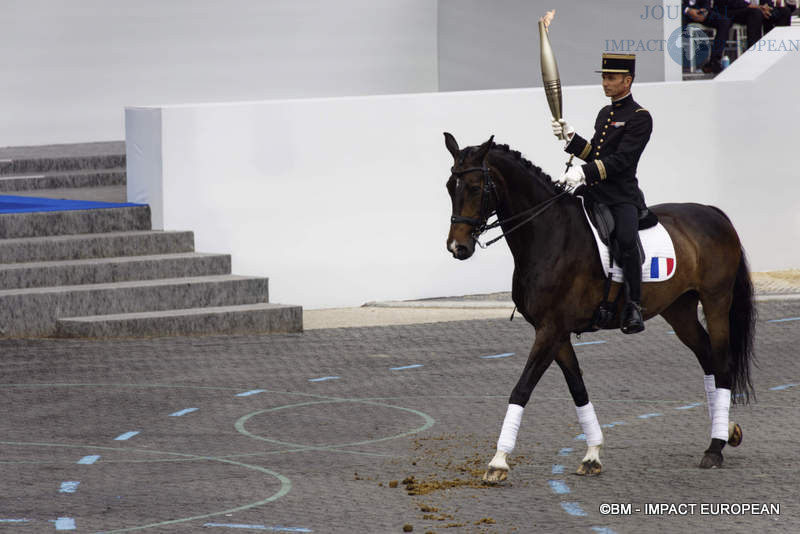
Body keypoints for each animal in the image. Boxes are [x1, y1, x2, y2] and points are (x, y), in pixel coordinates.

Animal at [444, 133, 756, 482]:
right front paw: (592, 454)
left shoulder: (550, 330)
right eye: (449, 186)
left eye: (475, 187)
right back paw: (727, 431)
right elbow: (578, 388)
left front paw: (498, 462)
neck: (549, 233)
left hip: (716, 300)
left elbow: (521, 389)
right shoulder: (556, 332)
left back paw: (715, 448)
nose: (458, 247)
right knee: (707, 357)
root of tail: (713, 213)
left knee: (722, 362)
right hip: (679, 310)